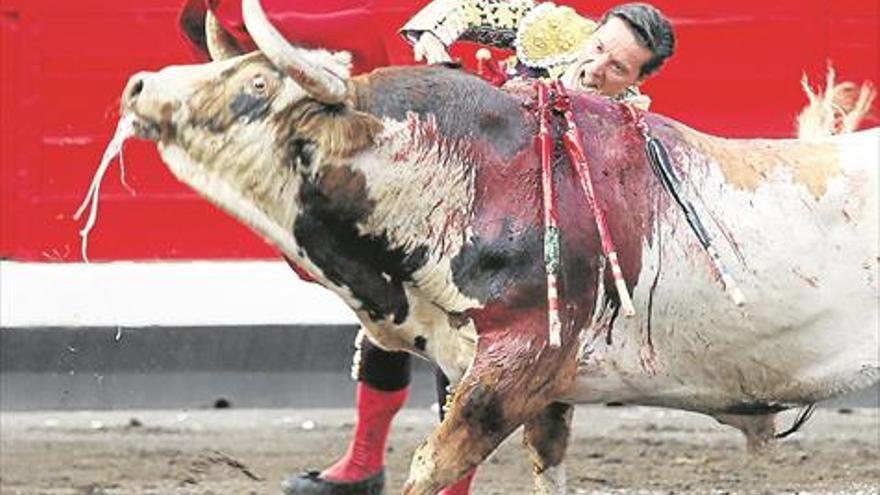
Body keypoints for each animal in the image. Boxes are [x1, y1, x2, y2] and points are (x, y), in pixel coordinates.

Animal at [113, 1, 876, 494]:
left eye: (257, 81)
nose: (140, 84)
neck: (470, 171)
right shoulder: (536, 383)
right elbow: (541, 462)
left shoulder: (516, 365)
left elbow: (434, 462)